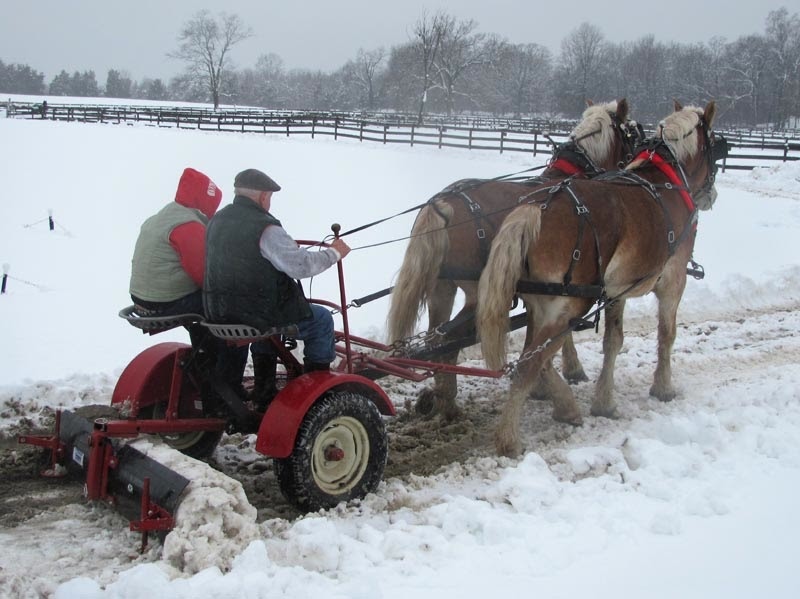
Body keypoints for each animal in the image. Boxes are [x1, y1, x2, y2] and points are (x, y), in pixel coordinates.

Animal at [387, 99, 642, 421]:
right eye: (633, 133)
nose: (637, 165)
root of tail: (442, 204)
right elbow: (558, 336)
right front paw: (567, 374)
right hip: (476, 295)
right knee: (447, 341)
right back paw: (448, 401)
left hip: (441, 288)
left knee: (436, 338)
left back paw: (442, 396)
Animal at [476, 101, 722, 457]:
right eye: (715, 145)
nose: (711, 196)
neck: (666, 181)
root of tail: (537, 208)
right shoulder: (673, 281)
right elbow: (667, 334)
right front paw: (663, 387)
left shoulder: (617, 290)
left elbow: (612, 341)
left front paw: (603, 401)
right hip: (570, 305)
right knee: (528, 364)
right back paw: (511, 437)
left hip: (542, 303)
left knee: (536, 356)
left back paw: (560, 404)